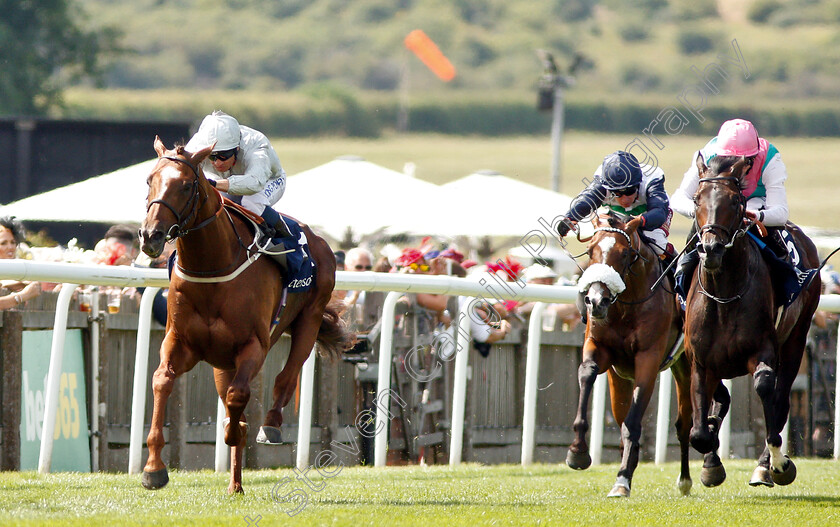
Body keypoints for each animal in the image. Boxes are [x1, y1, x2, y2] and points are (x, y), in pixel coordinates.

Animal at [139, 137, 354, 496]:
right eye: (149, 180)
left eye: (185, 185)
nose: (150, 236)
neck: (212, 266)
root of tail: (319, 240)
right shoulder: (180, 342)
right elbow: (162, 380)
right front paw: (154, 469)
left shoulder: (253, 345)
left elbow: (237, 399)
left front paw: (236, 431)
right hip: (222, 362)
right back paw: (235, 484)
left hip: (308, 320)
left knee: (286, 376)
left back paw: (270, 427)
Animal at [568, 211, 692, 500]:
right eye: (590, 251)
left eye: (625, 254)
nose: (596, 300)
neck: (626, 306)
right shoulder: (599, 347)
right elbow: (587, 373)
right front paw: (578, 452)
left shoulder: (648, 358)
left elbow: (633, 423)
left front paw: (622, 479)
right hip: (621, 380)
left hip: (689, 365)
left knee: (686, 423)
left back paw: (692, 477)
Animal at [684, 155, 816, 488]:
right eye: (697, 199)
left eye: (735, 201)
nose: (711, 248)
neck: (724, 296)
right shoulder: (700, 361)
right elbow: (700, 431)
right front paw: (710, 461)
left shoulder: (764, 349)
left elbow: (766, 388)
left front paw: (778, 463)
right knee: (721, 400)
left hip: (796, 338)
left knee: (780, 400)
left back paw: (765, 465)